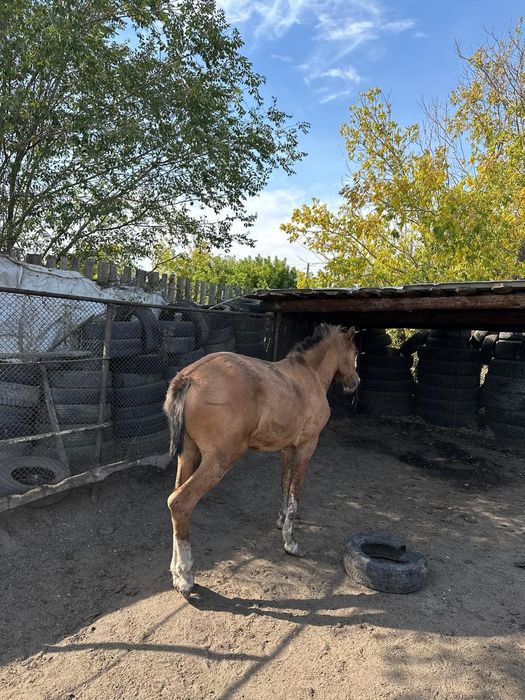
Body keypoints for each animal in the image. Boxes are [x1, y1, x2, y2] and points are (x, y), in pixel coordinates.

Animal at [163, 323, 359, 597]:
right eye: (356, 353)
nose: (355, 383)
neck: (308, 374)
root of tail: (189, 377)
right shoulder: (308, 446)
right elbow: (296, 491)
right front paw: (291, 543)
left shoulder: (287, 447)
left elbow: (285, 484)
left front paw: (280, 521)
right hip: (218, 461)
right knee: (180, 502)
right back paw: (185, 576)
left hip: (189, 454)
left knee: (174, 500)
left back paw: (175, 572)